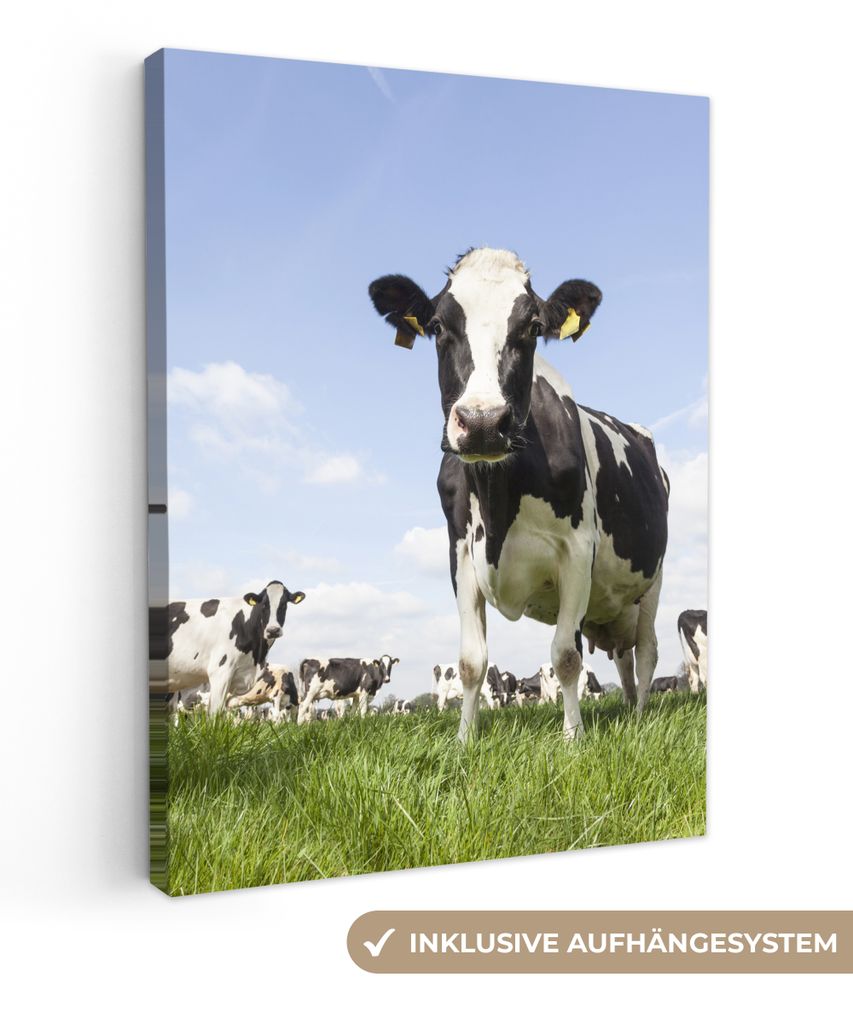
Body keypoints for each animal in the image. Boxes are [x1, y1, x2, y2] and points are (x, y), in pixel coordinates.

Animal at [370, 248, 669, 742]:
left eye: (531, 327)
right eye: (438, 326)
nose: (483, 422)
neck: (499, 499)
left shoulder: (577, 550)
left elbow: (565, 656)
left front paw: (573, 738)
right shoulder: (460, 553)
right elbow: (471, 662)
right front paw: (464, 740)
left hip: (653, 580)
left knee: (646, 651)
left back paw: (642, 716)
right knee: (623, 658)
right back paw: (628, 707)